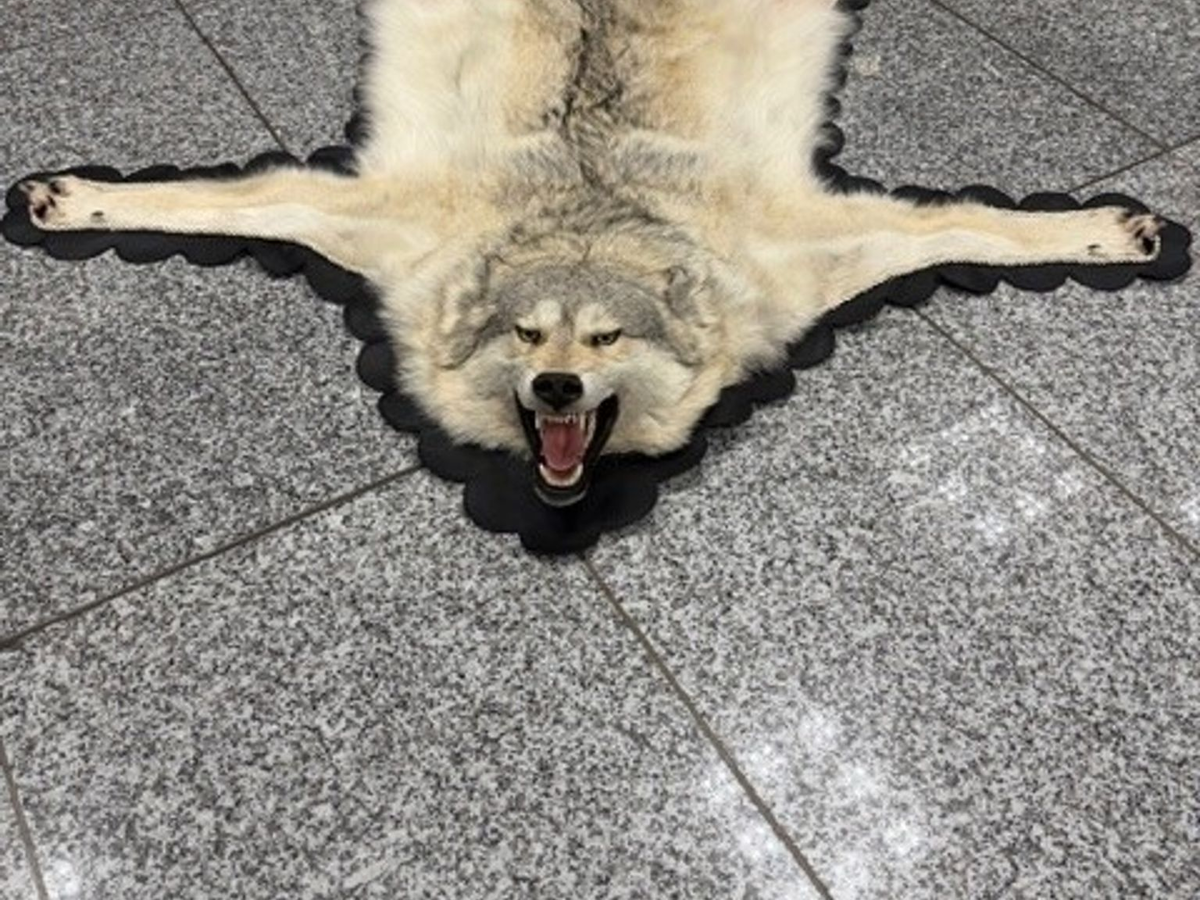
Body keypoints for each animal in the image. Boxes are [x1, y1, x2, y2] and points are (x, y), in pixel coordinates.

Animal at [18, 0, 1164, 507]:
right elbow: (211, 203)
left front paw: (1112, 233)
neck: (587, 208)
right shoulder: (375, 226)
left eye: (607, 339)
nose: (557, 388)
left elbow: (976, 226)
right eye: (528, 335)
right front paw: (71, 200)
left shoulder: (804, 251)